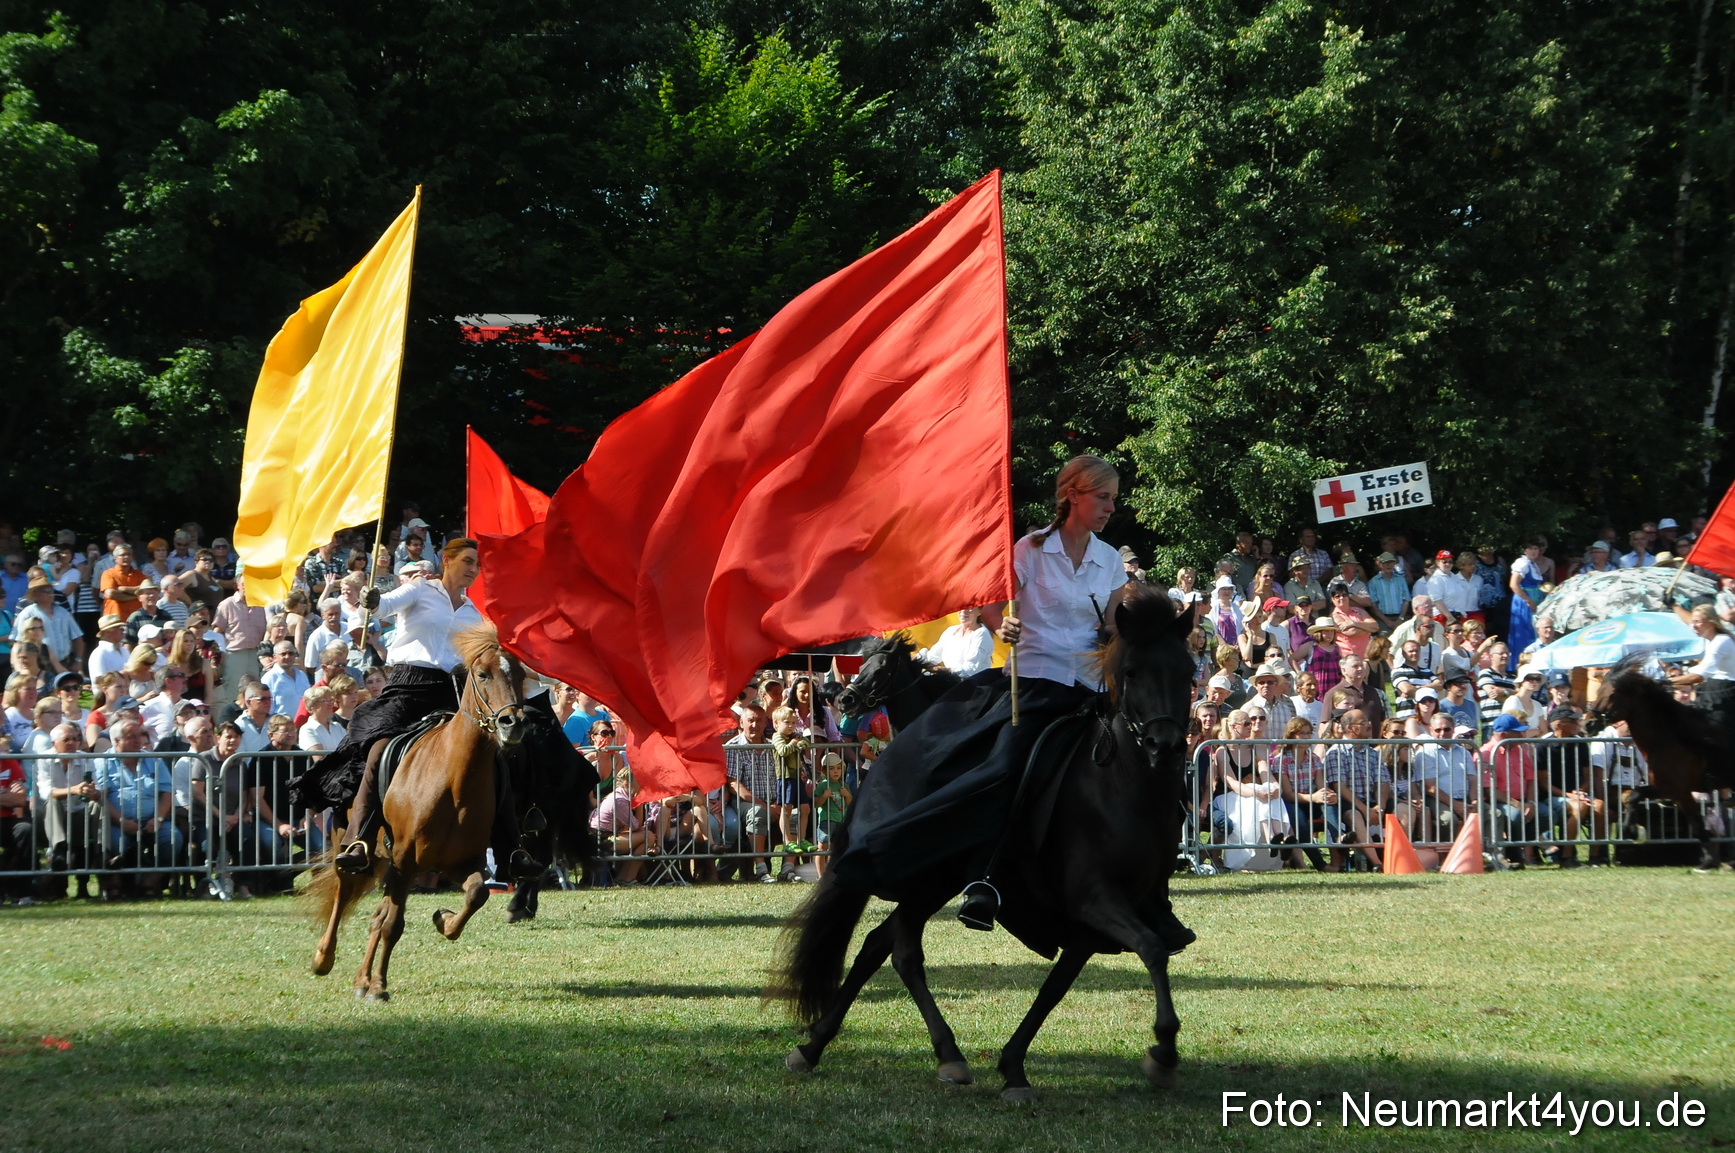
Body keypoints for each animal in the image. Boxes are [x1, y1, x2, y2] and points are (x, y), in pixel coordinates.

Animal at [306, 622, 528, 999]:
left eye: (522, 674)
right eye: (482, 674)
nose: (512, 723)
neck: (453, 780)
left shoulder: (461, 862)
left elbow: (477, 894)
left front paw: (444, 920)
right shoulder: (405, 860)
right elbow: (393, 924)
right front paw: (379, 986)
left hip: (387, 863)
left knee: (376, 916)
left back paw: (362, 979)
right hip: (353, 847)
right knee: (344, 891)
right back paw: (325, 958)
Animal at [769, 589, 1196, 1101]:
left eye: (1189, 671)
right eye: (1131, 672)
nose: (1164, 745)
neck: (1122, 786)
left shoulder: (1092, 921)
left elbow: (1058, 986)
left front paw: (1013, 1067)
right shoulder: (1094, 899)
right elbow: (1151, 950)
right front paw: (1164, 1052)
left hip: (934, 882)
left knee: (878, 944)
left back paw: (827, 1046)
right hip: (926, 880)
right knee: (903, 953)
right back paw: (940, 1054)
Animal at [1590, 665, 1733, 871]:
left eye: (1613, 694)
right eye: (1599, 689)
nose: (1589, 724)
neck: (1668, 738)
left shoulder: (1673, 788)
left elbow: (1634, 795)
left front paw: (1632, 831)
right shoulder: (1680, 793)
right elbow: (1697, 824)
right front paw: (1707, 862)